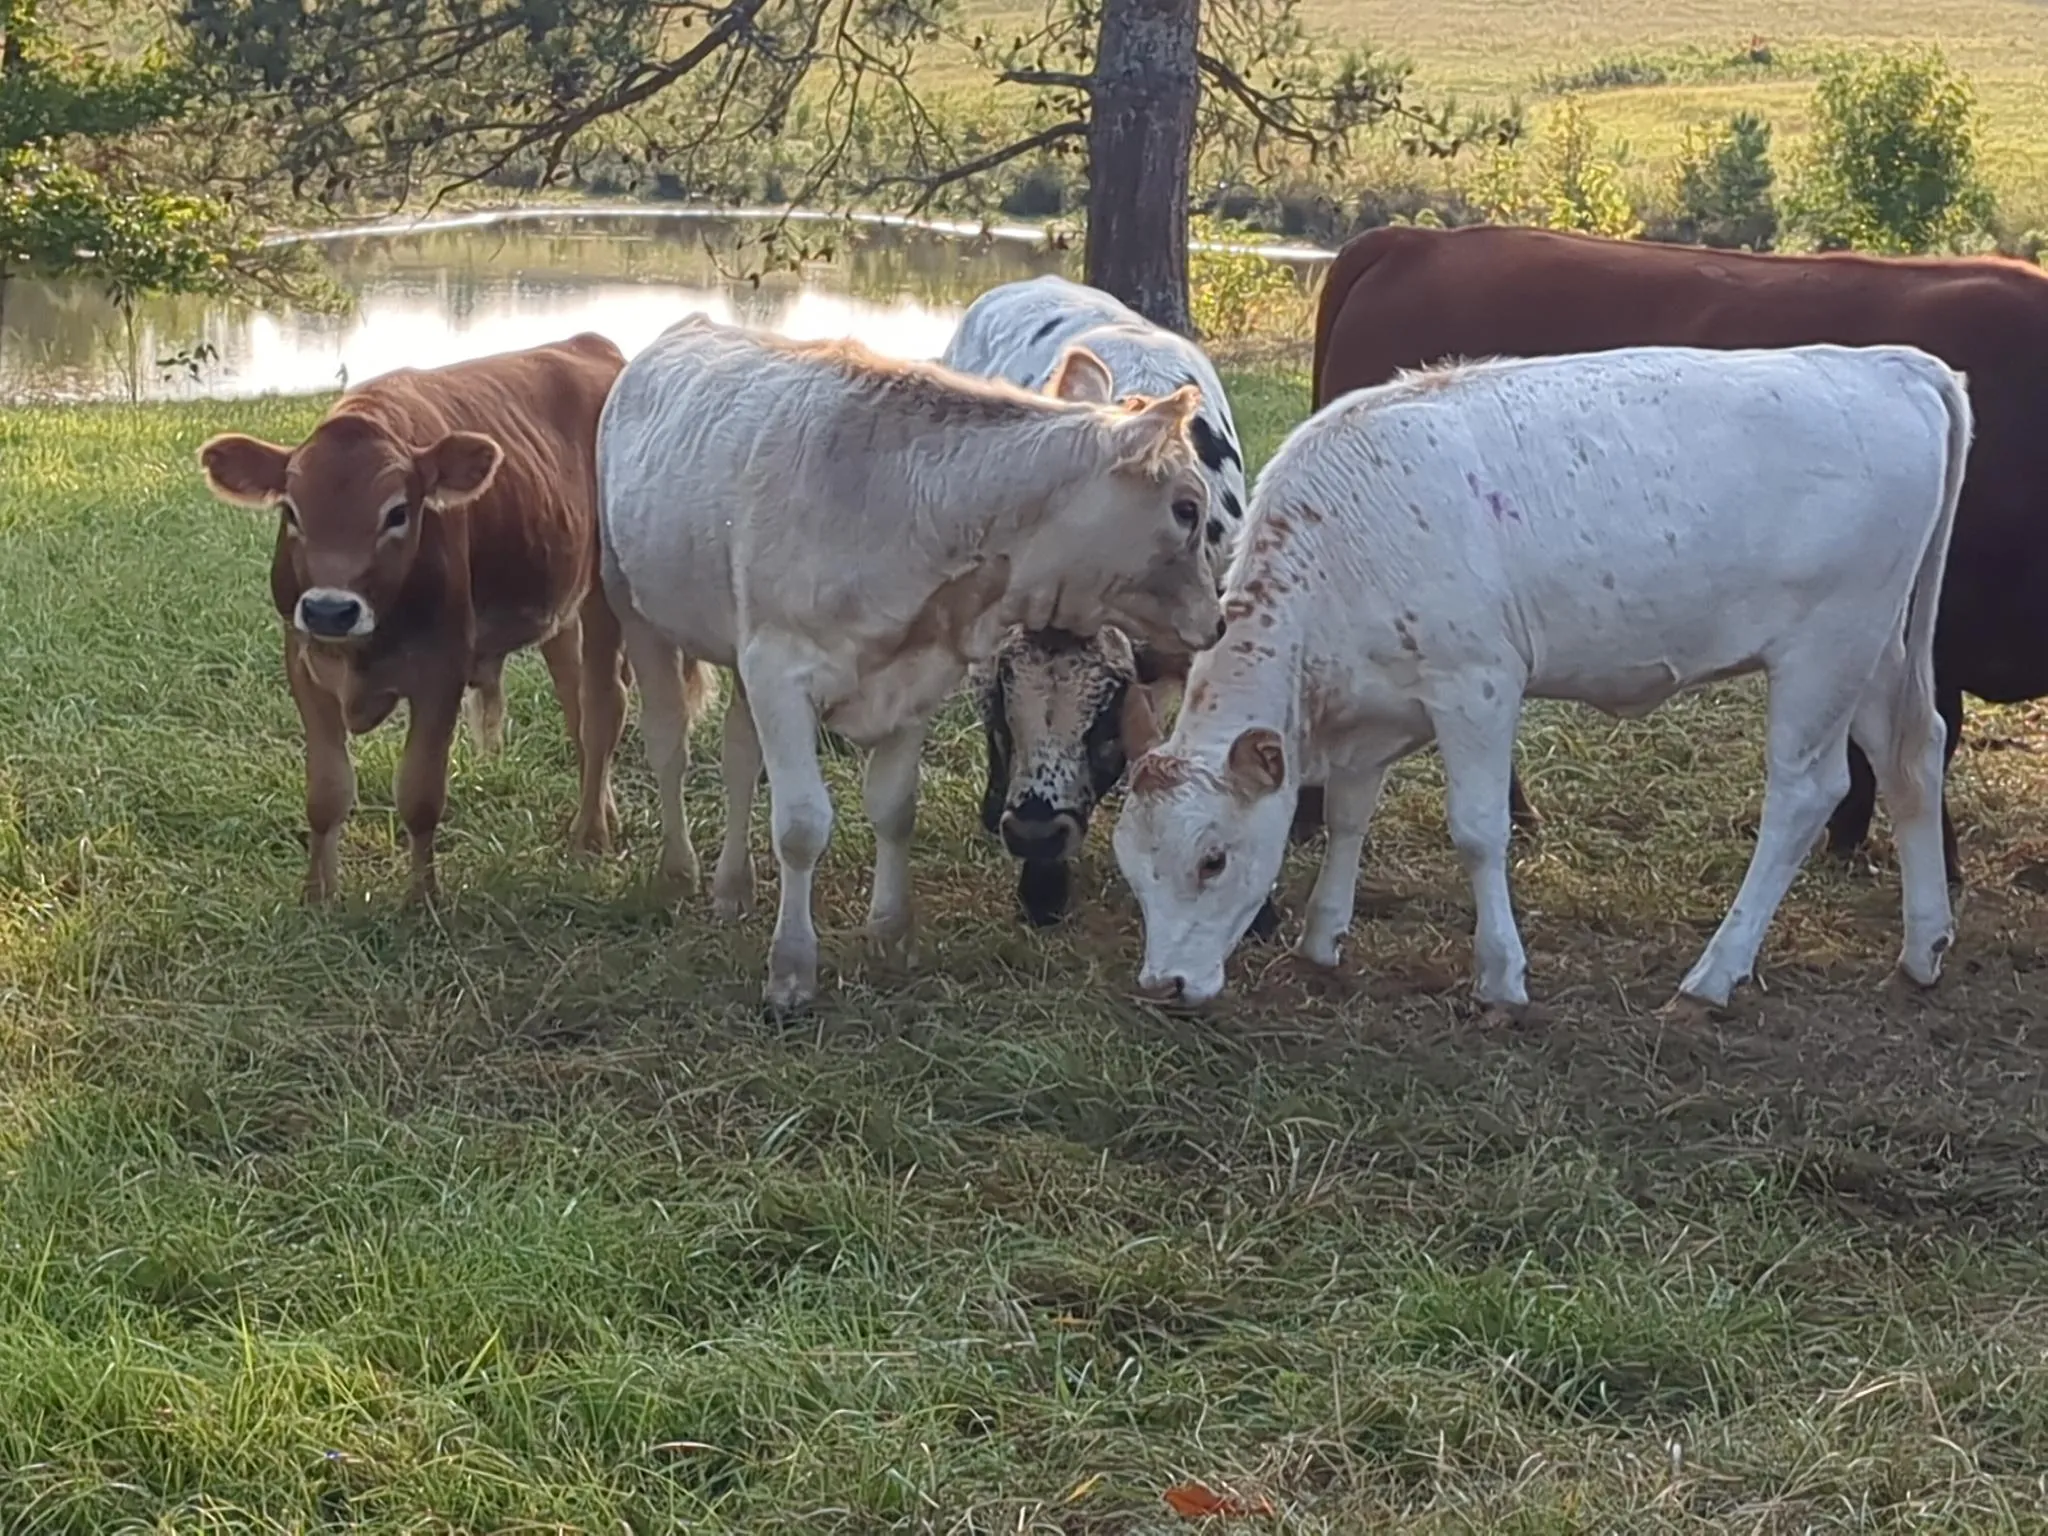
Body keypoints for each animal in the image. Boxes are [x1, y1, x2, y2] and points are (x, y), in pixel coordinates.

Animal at [203, 327, 630, 901]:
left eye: (398, 513)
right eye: (290, 511)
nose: (330, 610)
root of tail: (592, 344)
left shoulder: (441, 673)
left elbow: (420, 795)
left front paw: (422, 898)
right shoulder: (304, 664)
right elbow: (326, 793)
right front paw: (317, 896)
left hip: (605, 592)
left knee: (604, 707)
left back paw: (590, 836)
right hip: (559, 609)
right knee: (577, 706)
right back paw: (599, 814)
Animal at [598, 311, 1220, 1015]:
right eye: (1187, 508)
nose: (1216, 618)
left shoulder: (909, 679)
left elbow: (896, 809)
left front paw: (891, 935)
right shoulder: (782, 672)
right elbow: (801, 824)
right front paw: (791, 972)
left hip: (738, 647)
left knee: (736, 759)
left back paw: (733, 887)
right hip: (633, 607)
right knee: (668, 745)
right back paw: (679, 870)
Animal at [1114, 350, 1974, 1024]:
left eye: (1212, 860)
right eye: (1130, 866)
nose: (1163, 985)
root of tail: (1888, 364)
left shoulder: (1478, 685)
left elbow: (1478, 831)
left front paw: (1501, 977)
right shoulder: (1374, 703)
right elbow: (1349, 816)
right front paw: (1323, 938)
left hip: (1824, 650)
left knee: (1804, 794)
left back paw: (1712, 976)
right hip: (1871, 648)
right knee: (1913, 753)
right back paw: (1923, 947)